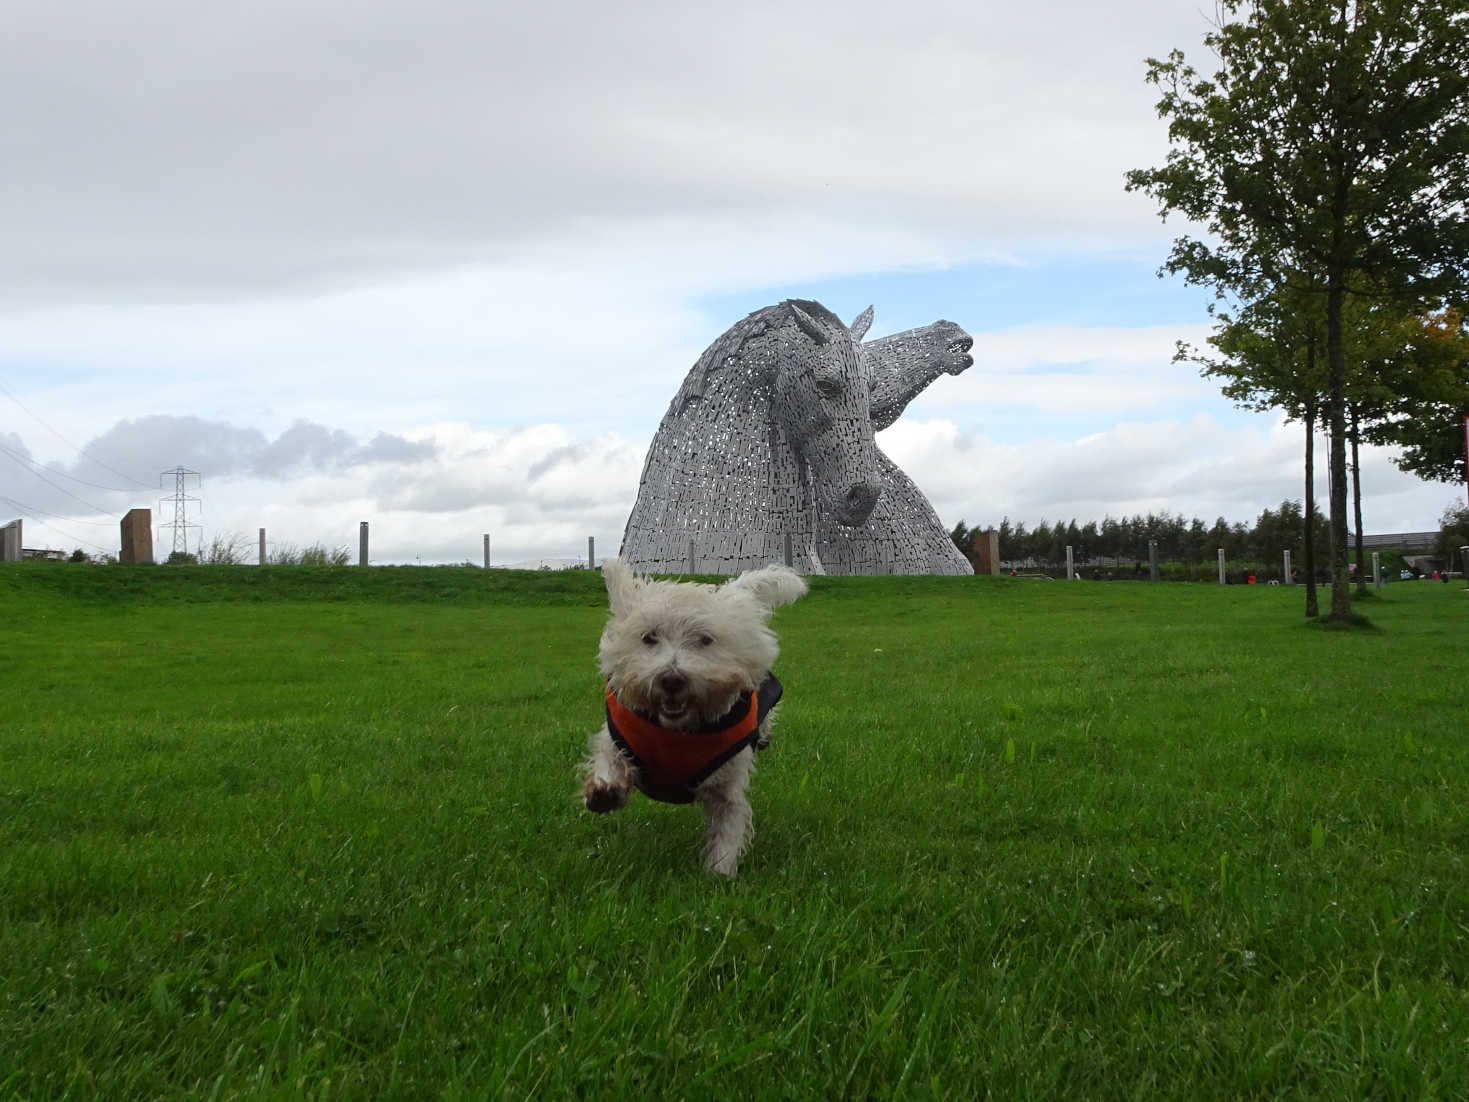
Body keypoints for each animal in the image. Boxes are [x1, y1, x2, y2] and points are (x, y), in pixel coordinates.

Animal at [581, 561, 810, 881]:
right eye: (648, 637)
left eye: (705, 639)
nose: (671, 679)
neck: (678, 732)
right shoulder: (619, 732)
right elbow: (609, 755)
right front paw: (605, 791)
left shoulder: (728, 784)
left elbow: (728, 826)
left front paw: (719, 875)